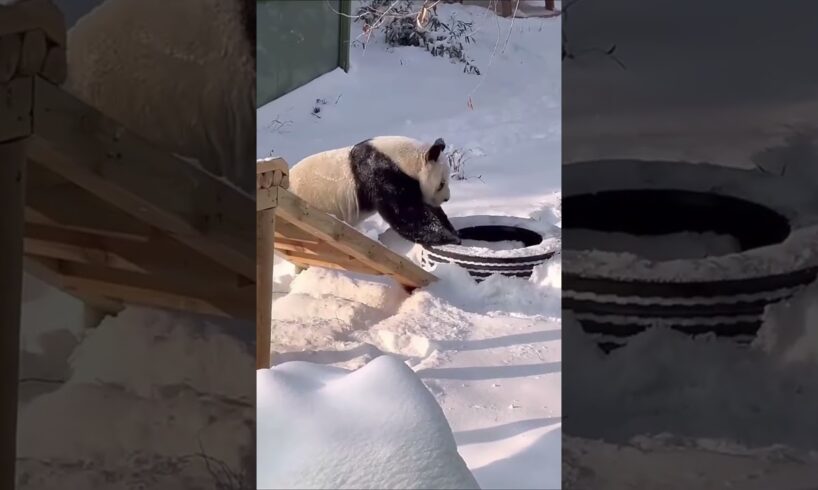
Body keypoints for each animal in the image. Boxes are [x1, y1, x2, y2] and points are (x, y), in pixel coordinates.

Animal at [288, 136, 460, 247]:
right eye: (441, 184)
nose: (446, 198)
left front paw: (452, 230)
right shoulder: (380, 174)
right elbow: (405, 214)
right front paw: (450, 238)